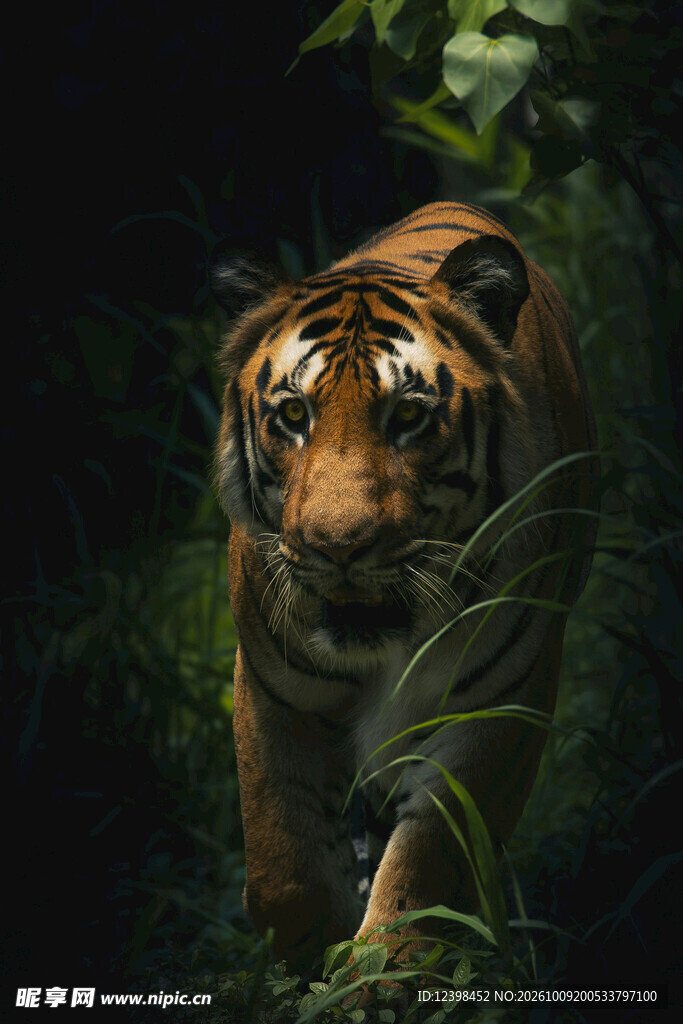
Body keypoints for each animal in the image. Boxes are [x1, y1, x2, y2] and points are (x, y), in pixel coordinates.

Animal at [209, 202, 598, 974]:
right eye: (293, 416)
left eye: (410, 416)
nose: (337, 547)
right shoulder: (274, 691)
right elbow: (283, 870)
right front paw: (310, 964)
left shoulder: (498, 702)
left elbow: (428, 865)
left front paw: (381, 976)